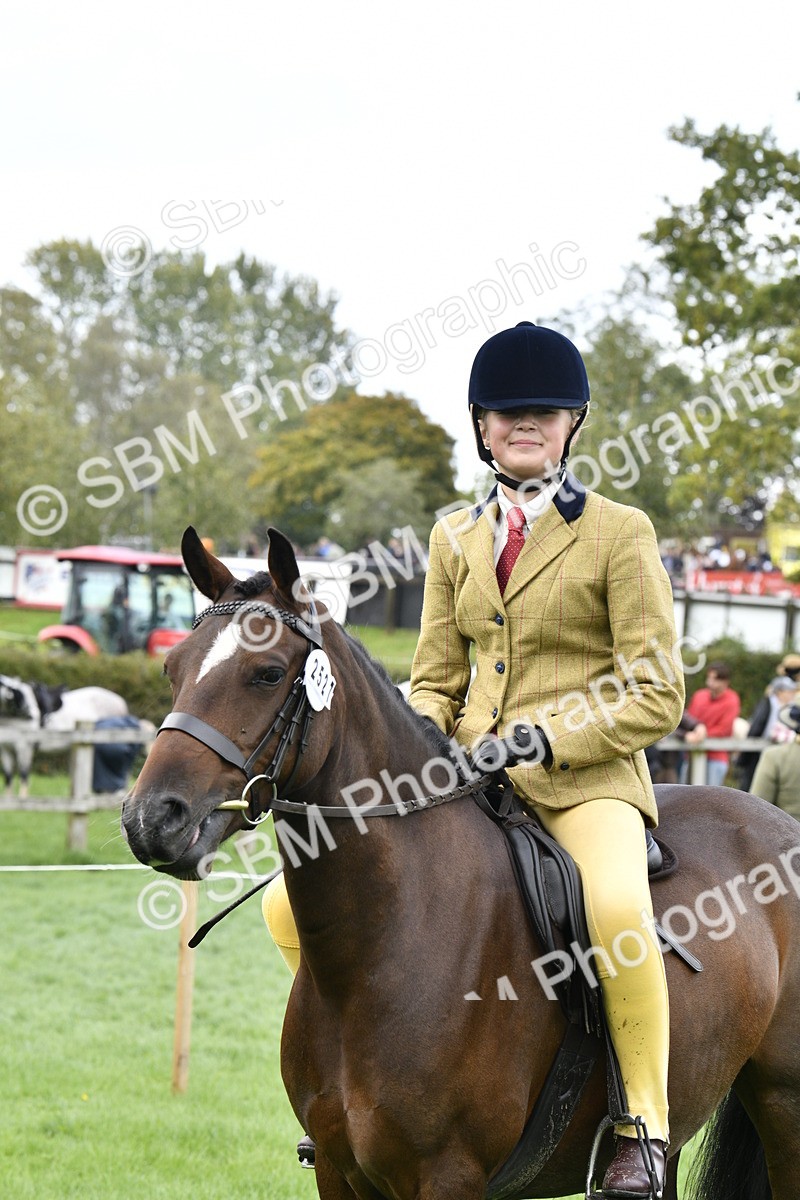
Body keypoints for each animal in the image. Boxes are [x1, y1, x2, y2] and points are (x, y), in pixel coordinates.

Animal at [122, 526, 800, 1200]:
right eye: (172, 668)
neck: (389, 941)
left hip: (781, 1103)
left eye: (266, 673)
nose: (151, 818)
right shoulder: (340, 1171)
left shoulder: (449, 1173)